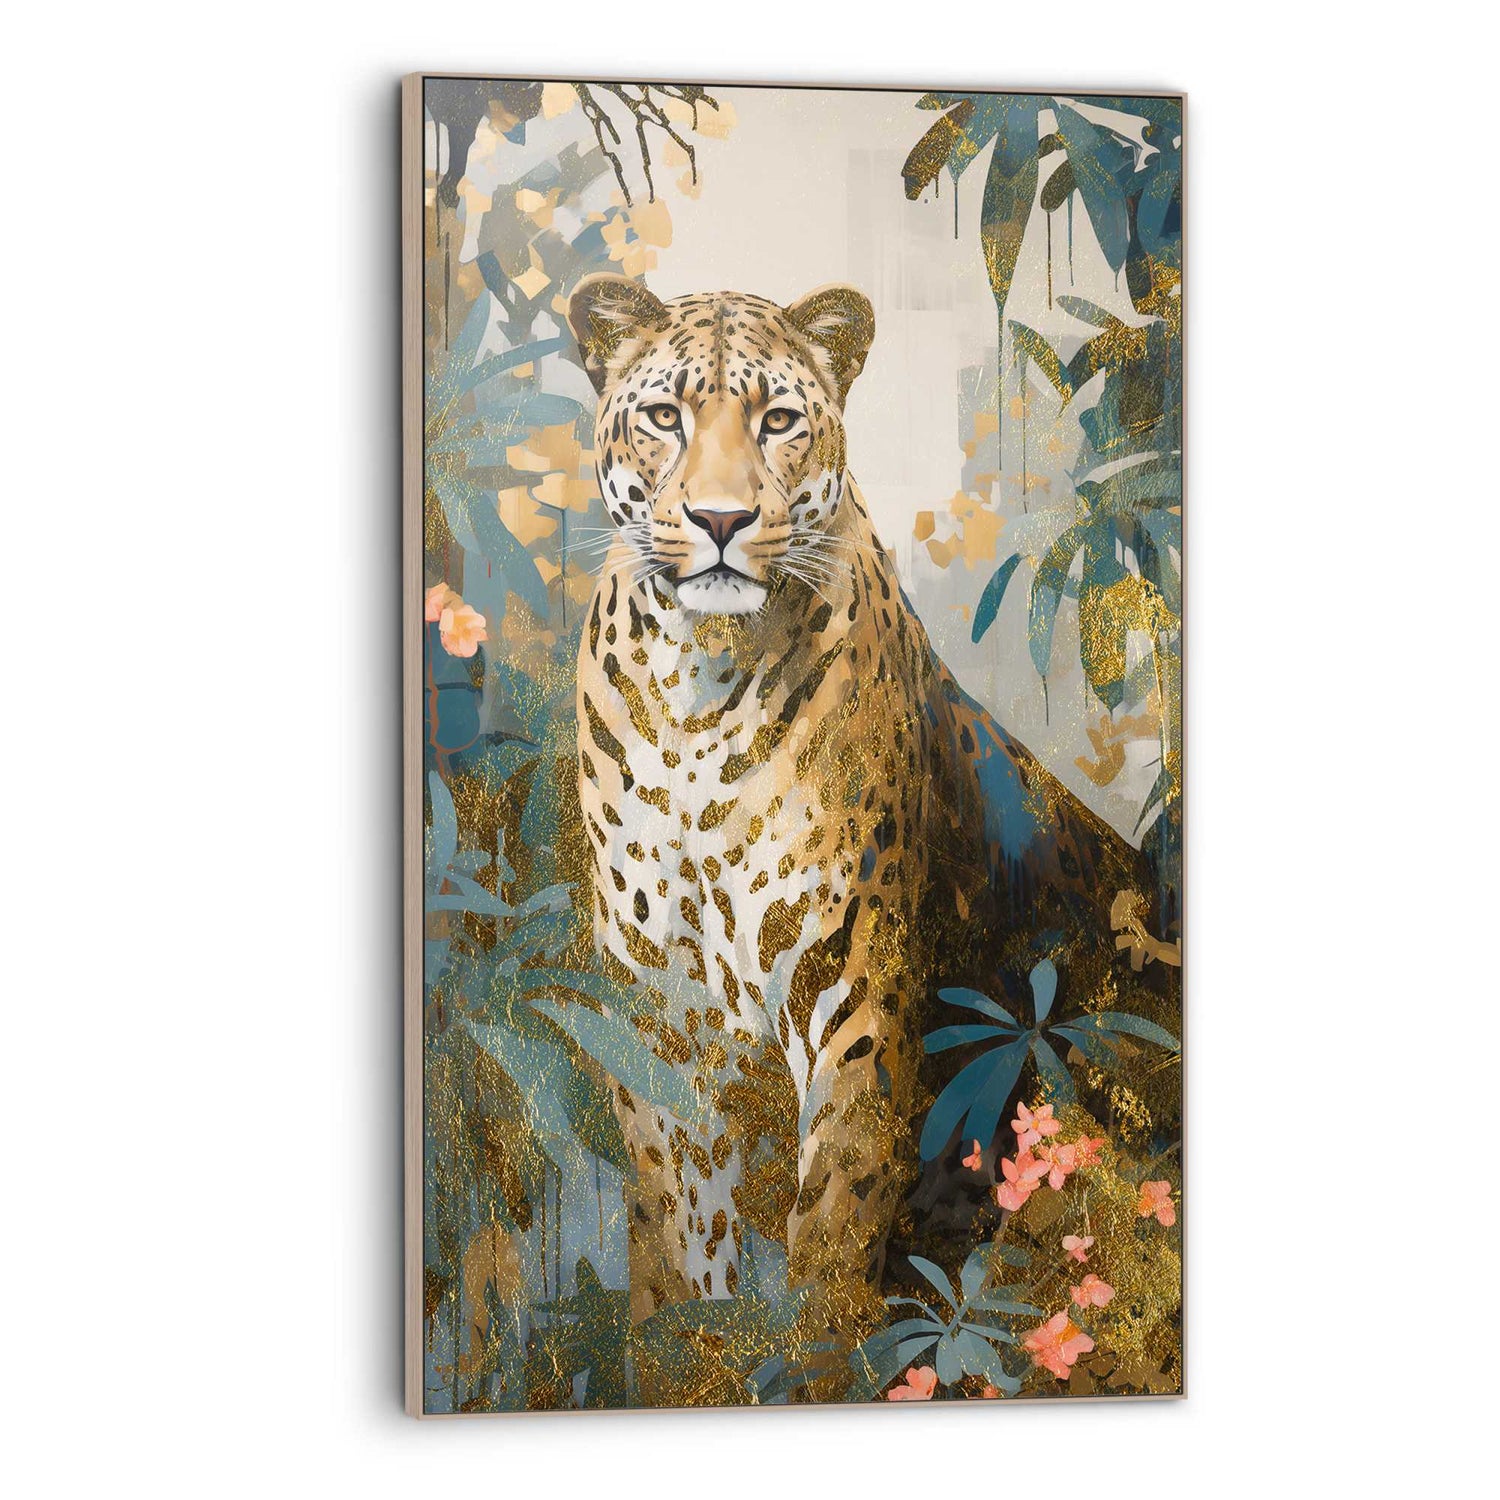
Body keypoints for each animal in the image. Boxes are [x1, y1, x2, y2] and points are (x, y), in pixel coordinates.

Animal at [565, 274, 1151, 1392]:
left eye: (777, 421)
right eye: (664, 417)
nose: (719, 518)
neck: (698, 685)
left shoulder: (851, 981)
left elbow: (833, 1224)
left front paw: (811, 1367)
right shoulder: (658, 1011)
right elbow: (673, 1235)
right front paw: (679, 1364)